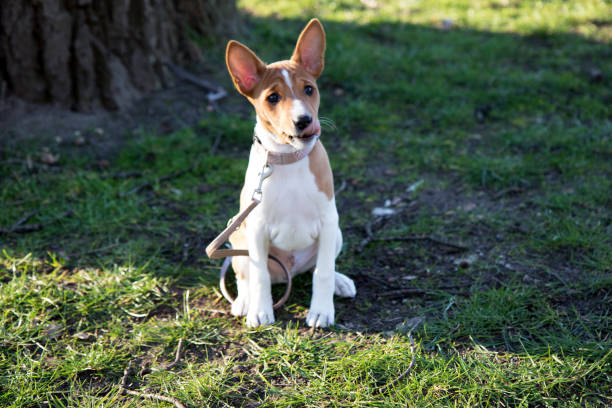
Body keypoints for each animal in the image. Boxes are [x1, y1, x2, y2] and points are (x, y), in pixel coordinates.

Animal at [225, 19, 356, 326]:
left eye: (309, 89)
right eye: (273, 97)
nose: (303, 121)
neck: (289, 160)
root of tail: (289, 271)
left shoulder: (328, 220)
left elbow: (323, 272)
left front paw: (321, 310)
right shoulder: (256, 228)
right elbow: (259, 275)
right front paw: (261, 311)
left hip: (337, 234)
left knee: (321, 266)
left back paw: (341, 281)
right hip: (238, 239)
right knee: (244, 275)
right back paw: (244, 301)